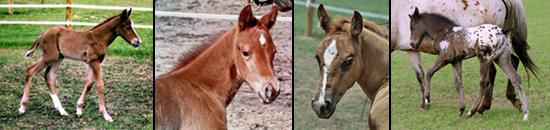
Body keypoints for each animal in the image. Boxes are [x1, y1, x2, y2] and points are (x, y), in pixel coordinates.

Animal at [392, 0, 540, 114]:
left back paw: (480, 108)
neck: (445, 31)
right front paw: (430, 103)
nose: (412, 43)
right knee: (513, 67)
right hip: (500, 56)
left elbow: (427, 73)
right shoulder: (452, 60)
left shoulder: (443, 57)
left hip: (487, 58)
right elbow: (451, 82)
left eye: (413, 26)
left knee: (488, 77)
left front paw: (427, 100)